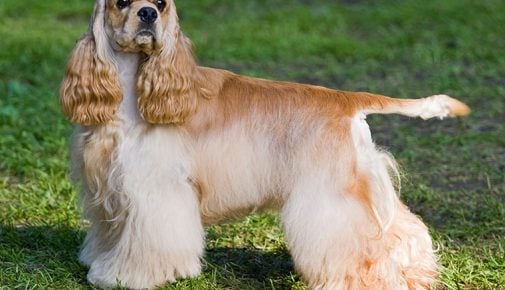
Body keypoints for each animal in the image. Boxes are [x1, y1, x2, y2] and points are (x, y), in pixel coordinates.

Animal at [59, 0, 468, 288]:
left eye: (161, 3)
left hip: (332, 197)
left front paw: (120, 276)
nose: (147, 14)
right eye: (122, 1)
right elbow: (110, 231)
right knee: (405, 229)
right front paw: (99, 261)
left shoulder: (155, 190)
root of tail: (346, 100)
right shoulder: (107, 186)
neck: (133, 89)